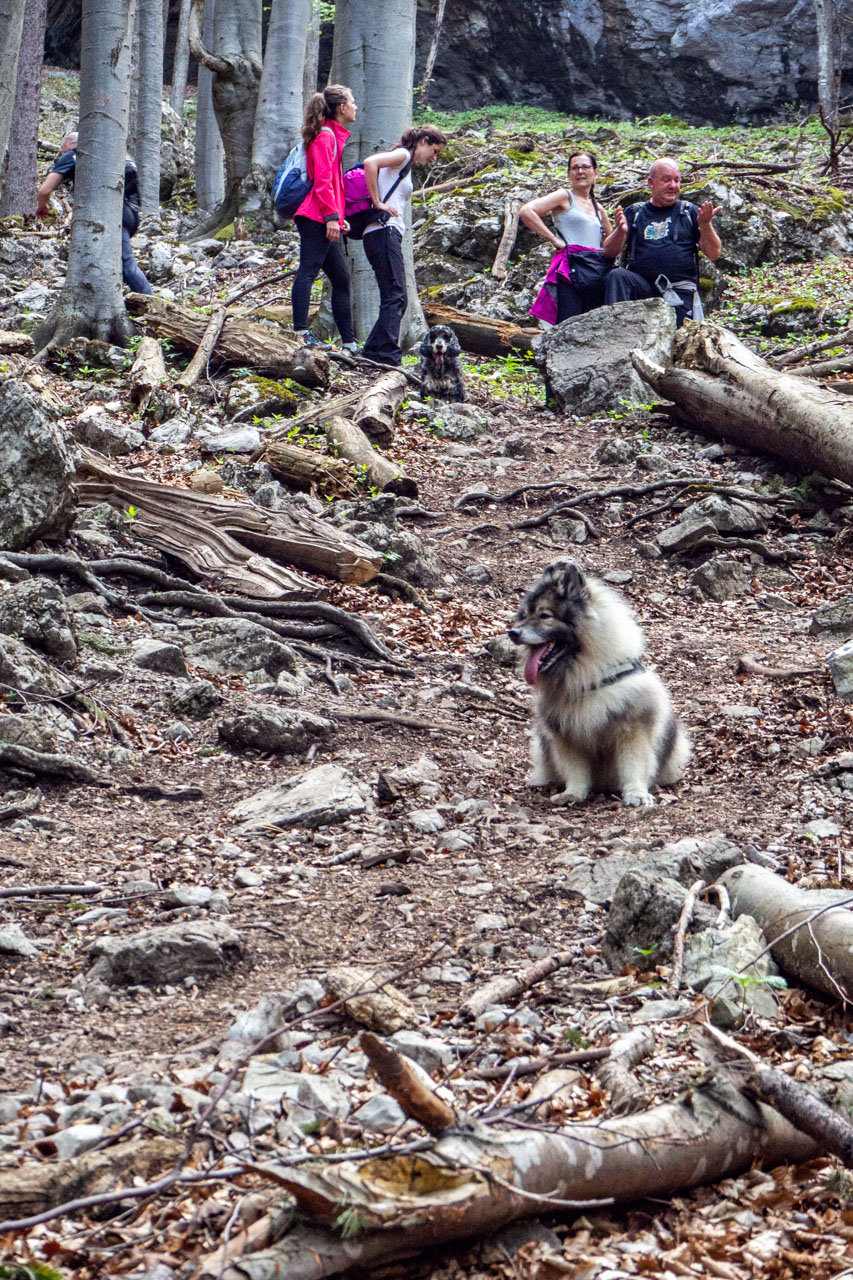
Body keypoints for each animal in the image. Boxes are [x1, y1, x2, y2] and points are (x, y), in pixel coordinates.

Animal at [507, 558, 686, 803]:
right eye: (524, 615)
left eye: (545, 616)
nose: (512, 633)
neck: (584, 675)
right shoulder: (566, 735)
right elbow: (575, 770)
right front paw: (573, 793)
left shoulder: (632, 730)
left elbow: (634, 765)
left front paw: (637, 794)